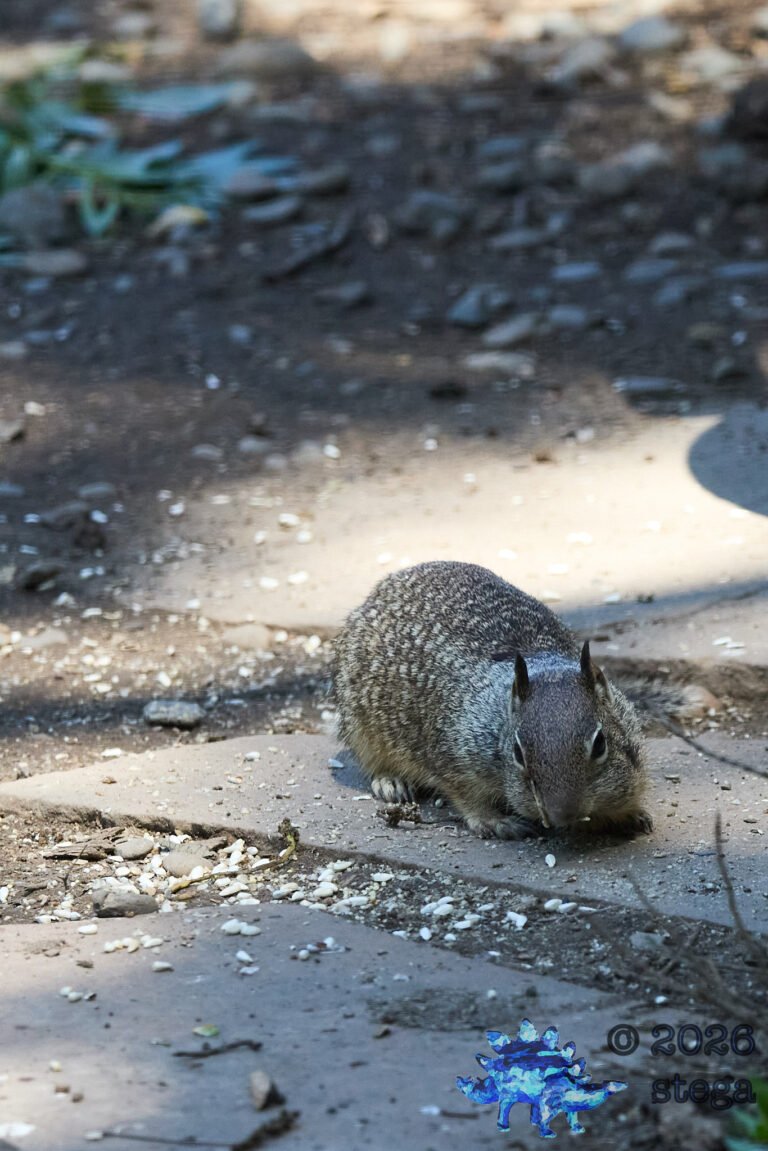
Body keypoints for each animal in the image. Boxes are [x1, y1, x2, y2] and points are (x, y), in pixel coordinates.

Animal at [333, 561, 652, 839]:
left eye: (600, 744)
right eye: (518, 753)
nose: (562, 815)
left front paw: (630, 814)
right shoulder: (455, 758)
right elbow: (467, 798)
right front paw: (496, 821)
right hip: (361, 729)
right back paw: (392, 782)